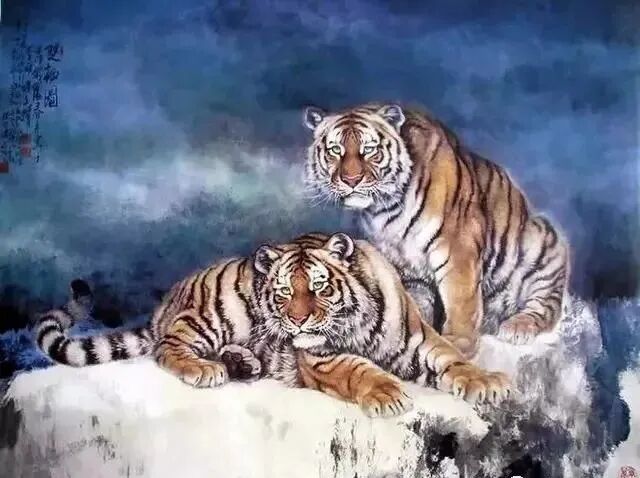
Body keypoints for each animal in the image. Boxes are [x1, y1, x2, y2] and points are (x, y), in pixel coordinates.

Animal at [35, 233, 511, 417]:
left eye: (319, 288)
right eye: (283, 292)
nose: (296, 319)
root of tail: (166, 302)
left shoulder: (419, 342)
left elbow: (452, 358)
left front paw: (487, 382)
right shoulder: (321, 358)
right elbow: (357, 369)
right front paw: (387, 394)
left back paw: (242, 362)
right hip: (211, 314)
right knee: (167, 348)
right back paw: (205, 369)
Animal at [303, 103, 569, 358]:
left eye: (369, 149)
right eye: (335, 150)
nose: (351, 180)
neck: (383, 210)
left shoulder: (458, 248)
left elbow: (461, 302)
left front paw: (458, 346)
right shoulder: (403, 268)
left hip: (541, 242)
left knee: (546, 305)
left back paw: (517, 327)